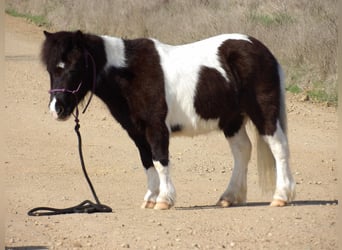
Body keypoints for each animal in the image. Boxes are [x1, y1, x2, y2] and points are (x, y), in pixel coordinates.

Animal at [41, 29, 296, 209]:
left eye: (74, 67)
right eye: (51, 70)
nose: (57, 109)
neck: (130, 73)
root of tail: (263, 50)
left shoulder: (156, 127)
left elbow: (160, 161)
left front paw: (164, 200)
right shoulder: (136, 132)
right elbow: (147, 162)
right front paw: (150, 199)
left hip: (263, 112)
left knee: (279, 148)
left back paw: (281, 196)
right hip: (231, 119)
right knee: (242, 150)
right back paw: (229, 197)